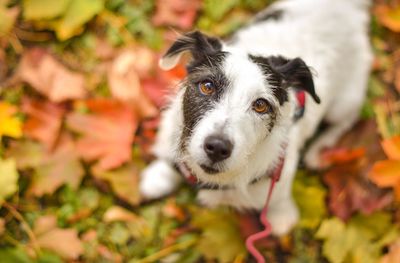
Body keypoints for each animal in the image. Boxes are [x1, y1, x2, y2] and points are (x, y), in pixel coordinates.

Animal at [140, 0, 372, 235]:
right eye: (207, 86)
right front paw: (160, 175)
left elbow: (279, 200)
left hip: (343, 103)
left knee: (346, 121)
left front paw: (280, 215)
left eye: (261, 105)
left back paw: (319, 150)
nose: (217, 148)